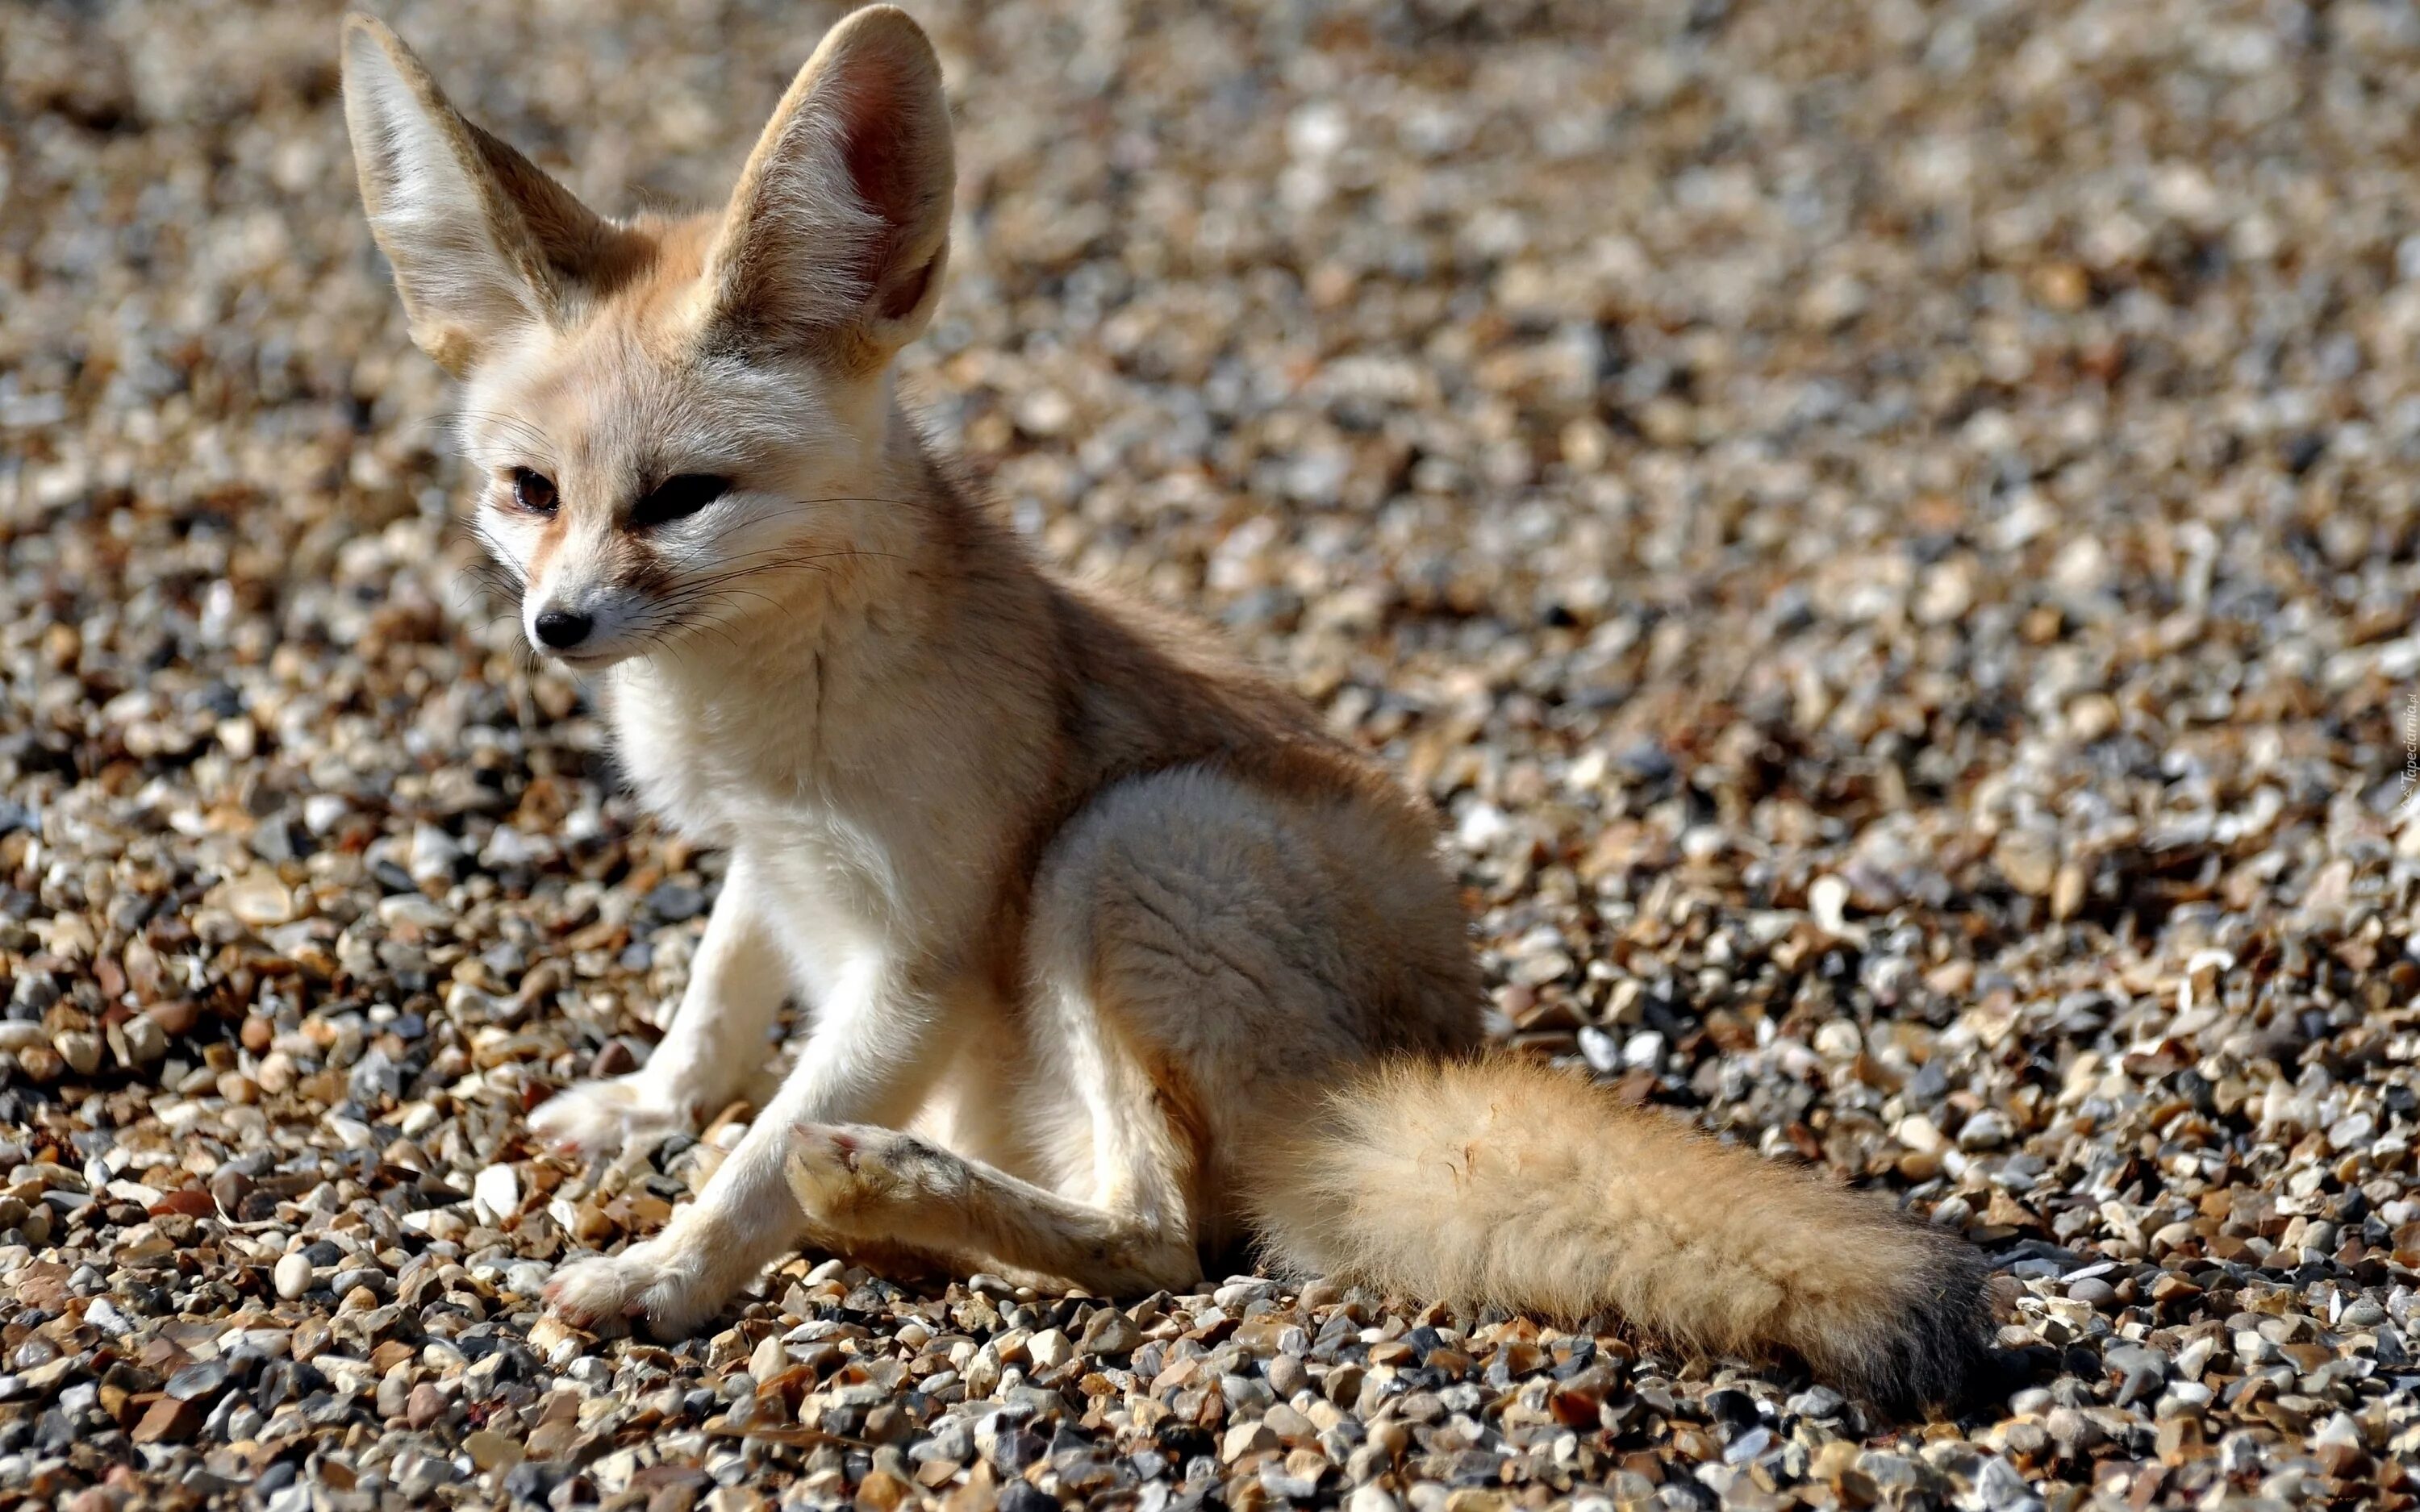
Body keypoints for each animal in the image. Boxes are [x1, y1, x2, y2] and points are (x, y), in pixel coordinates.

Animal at [351, 6, 1994, 1413]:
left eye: (683, 498)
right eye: (530, 492)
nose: (558, 625)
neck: (758, 697)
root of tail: (1376, 1085)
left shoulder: (919, 962)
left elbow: (750, 1159)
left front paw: (666, 1272)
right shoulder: (770, 855)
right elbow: (714, 1008)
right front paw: (648, 1105)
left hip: (1128, 845)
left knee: (1160, 1239)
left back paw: (878, 1190)